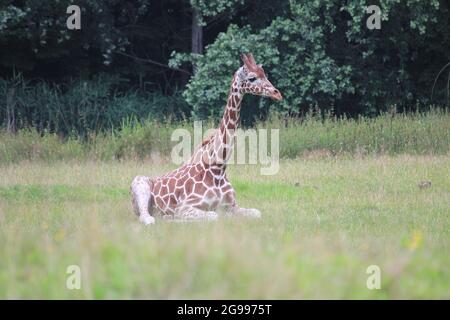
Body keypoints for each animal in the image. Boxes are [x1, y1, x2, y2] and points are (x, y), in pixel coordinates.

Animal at [130, 53, 284, 225]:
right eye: (252, 78)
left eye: (265, 75)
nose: (277, 93)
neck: (218, 168)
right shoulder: (184, 207)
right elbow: (213, 216)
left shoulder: (232, 206)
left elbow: (257, 213)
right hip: (139, 183)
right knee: (147, 217)